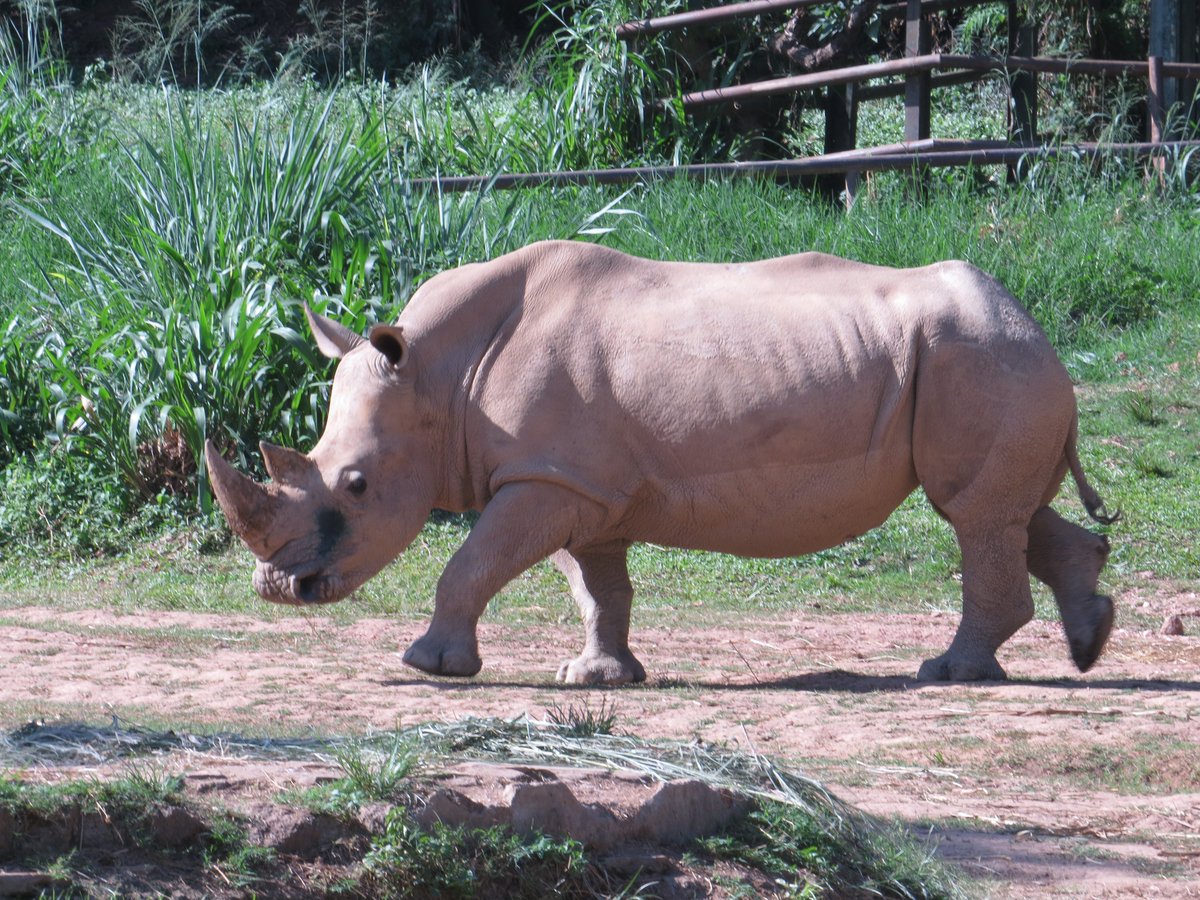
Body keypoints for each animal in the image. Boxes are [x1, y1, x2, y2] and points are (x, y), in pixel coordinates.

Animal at [205, 240, 1117, 684]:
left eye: (357, 486)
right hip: (988, 358)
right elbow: (597, 588)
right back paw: (1088, 643)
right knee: (1007, 513)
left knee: (973, 516)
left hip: (981, 356)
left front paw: (430, 667)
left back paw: (951, 673)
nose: (280, 589)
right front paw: (598, 678)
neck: (439, 376)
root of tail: (1031, 321)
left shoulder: (547, 478)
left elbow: (470, 564)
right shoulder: (580, 486)